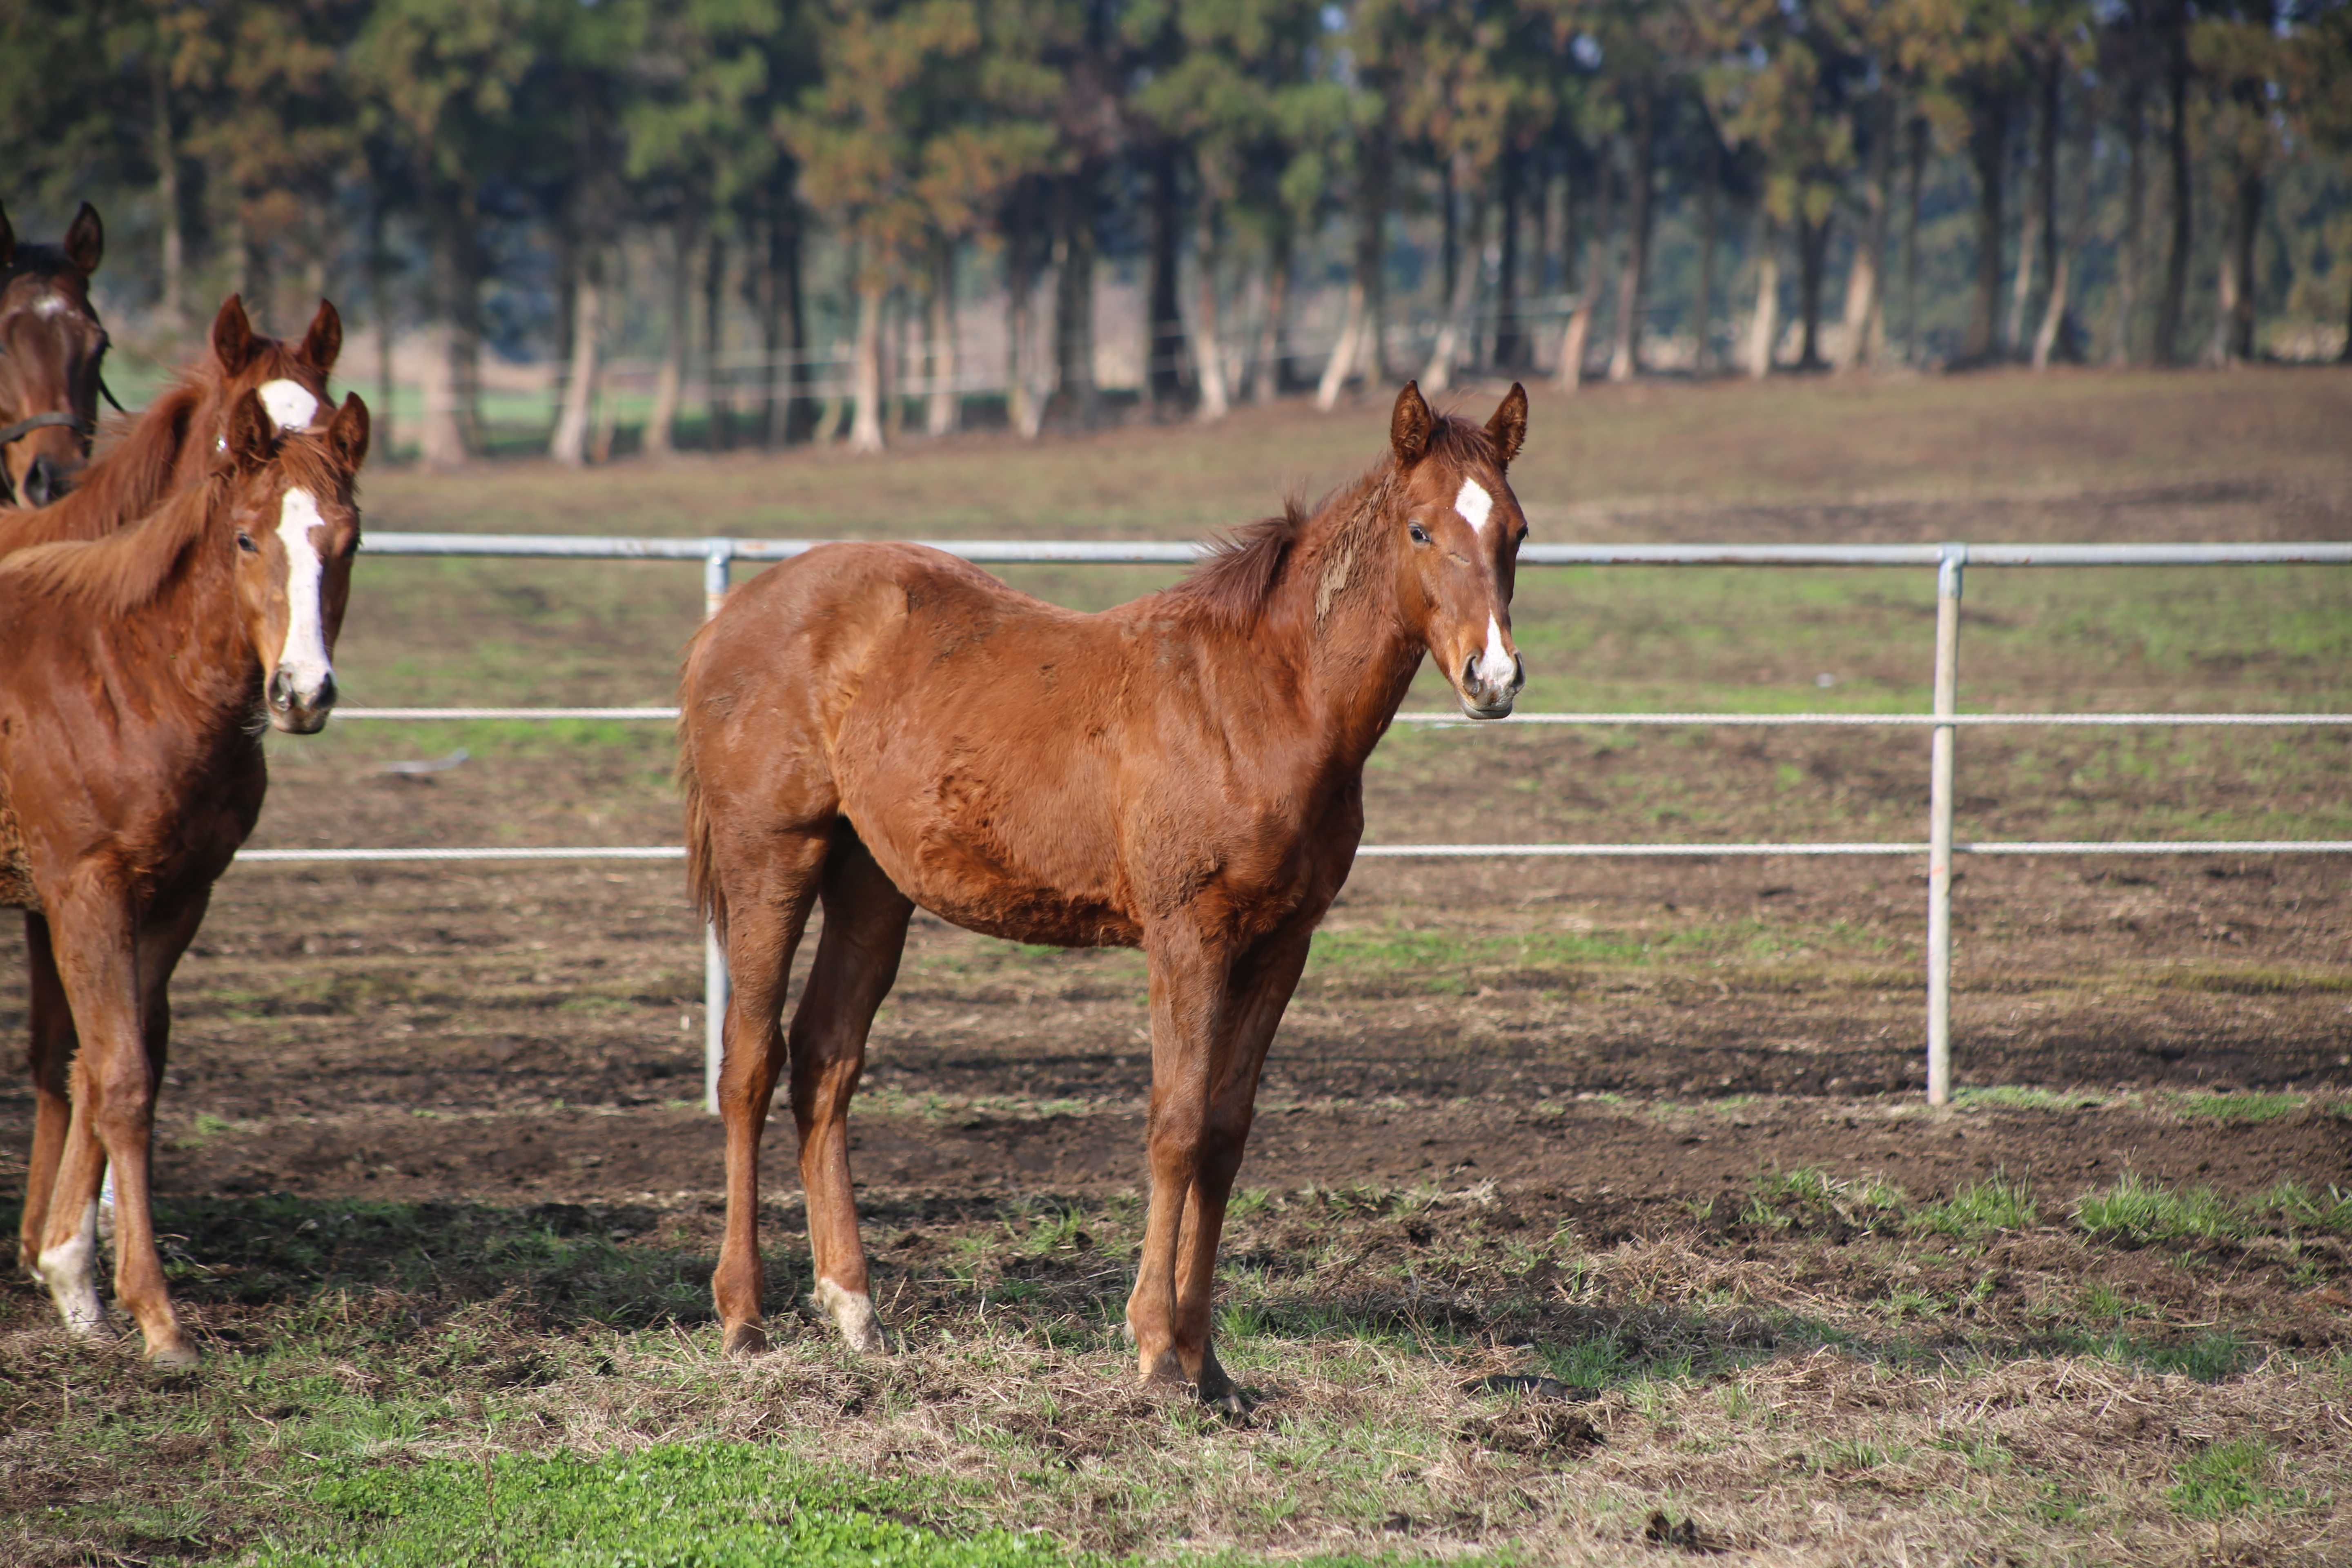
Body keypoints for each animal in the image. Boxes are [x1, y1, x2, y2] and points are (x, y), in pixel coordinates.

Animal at [0, 381, 367, 1363]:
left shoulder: (177, 896)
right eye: (246, 538)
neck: (129, 676)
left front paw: (75, 1280)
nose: (303, 694)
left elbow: (107, 1070)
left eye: (348, 541)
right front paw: (158, 1319)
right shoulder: (84, 893)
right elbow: (121, 1078)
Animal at [673, 381, 1533, 1401]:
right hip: (772, 856)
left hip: (871, 882)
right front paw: (1158, 1351)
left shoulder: (1284, 943)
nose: (1493, 677)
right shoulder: (1187, 935)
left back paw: (854, 1310)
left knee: (826, 1059)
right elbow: (1178, 1126)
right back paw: (743, 1318)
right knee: (750, 1062)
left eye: (1516, 530)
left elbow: (1228, 1132)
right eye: (1420, 529)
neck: (1263, 701)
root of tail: (730, 616)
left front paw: (1210, 1366)